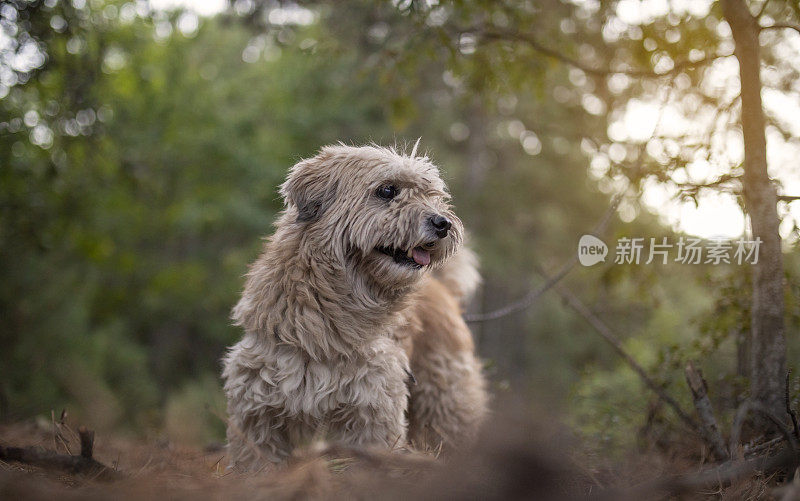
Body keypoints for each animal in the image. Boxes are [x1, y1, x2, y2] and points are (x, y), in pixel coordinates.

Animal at [222, 145, 490, 468]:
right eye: (387, 190)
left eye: (431, 194)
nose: (443, 224)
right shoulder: (257, 408)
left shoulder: (372, 407)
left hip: (447, 396)